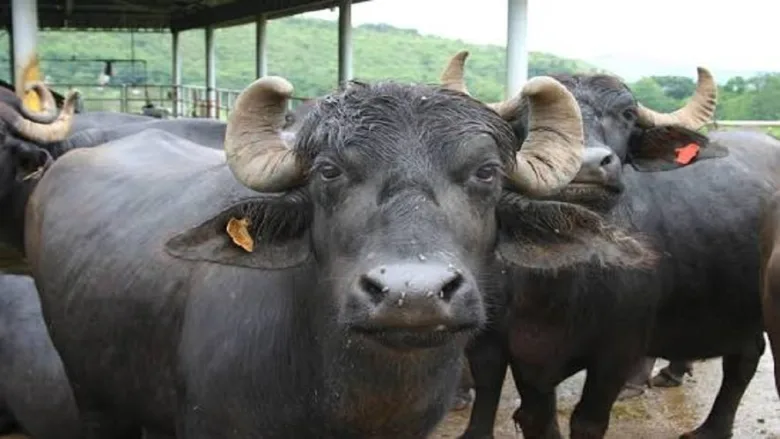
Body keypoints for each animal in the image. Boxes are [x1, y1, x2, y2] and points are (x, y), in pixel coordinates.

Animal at [445, 51, 780, 439]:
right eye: (531, 117)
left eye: (627, 114)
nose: (587, 164)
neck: (562, 279)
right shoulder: (518, 352)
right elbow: (533, 417)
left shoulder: (618, 352)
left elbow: (587, 421)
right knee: (747, 352)